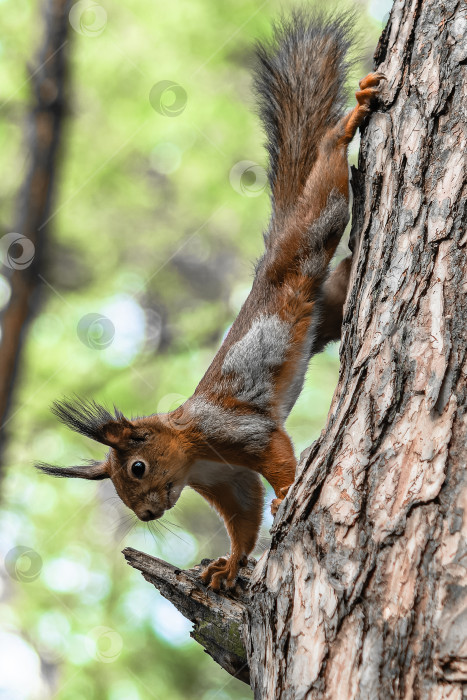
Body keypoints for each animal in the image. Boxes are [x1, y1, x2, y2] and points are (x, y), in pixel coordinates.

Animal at [38, 10, 384, 592]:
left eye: (136, 469)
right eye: (118, 487)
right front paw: (228, 565)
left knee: (325, 197)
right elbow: (243, 519)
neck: (192, 451)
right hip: (331, 309)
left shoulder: (240, 432)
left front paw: (288, 497)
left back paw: (345, 127)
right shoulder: (228, 481)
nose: (147, 514)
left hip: (307, 238)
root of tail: (270, 255)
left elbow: (278, 459)